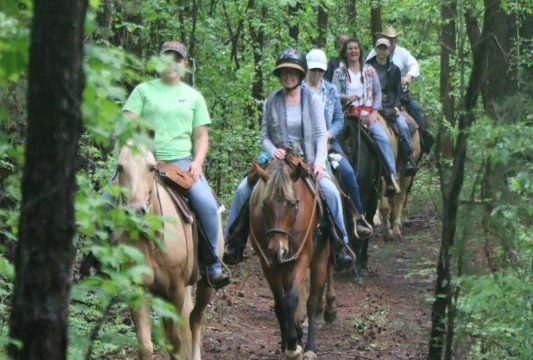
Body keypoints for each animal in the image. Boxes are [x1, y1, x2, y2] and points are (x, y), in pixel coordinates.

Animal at [116, 144, 222, 360]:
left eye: (151, 167)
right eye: (120, 167)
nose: (136, 212)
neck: (152, 240)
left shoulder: (176, 290)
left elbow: (175, 343)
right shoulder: (138, 289)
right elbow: (146, 346)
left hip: (206, 285)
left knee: (195, 319)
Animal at [248, 159, 332, 360]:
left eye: (293, 204)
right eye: (265, 204)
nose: (278, 250)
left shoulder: (301, 259)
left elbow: (291, 300)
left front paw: (294, 347)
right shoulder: (268, 265)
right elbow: (280, 304)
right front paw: (287, 344)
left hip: (319, 260)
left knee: (311, 301)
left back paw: (309, 348)